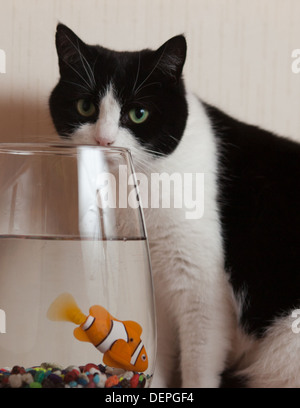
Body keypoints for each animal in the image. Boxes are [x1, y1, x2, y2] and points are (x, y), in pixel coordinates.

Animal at [49, 23, 300, 388]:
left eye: (138, 114)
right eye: (85, 107)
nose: (103, 140)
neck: (134, 185)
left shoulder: (202, 287)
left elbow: (198, 359)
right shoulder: (157, 281)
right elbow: (161, 350)